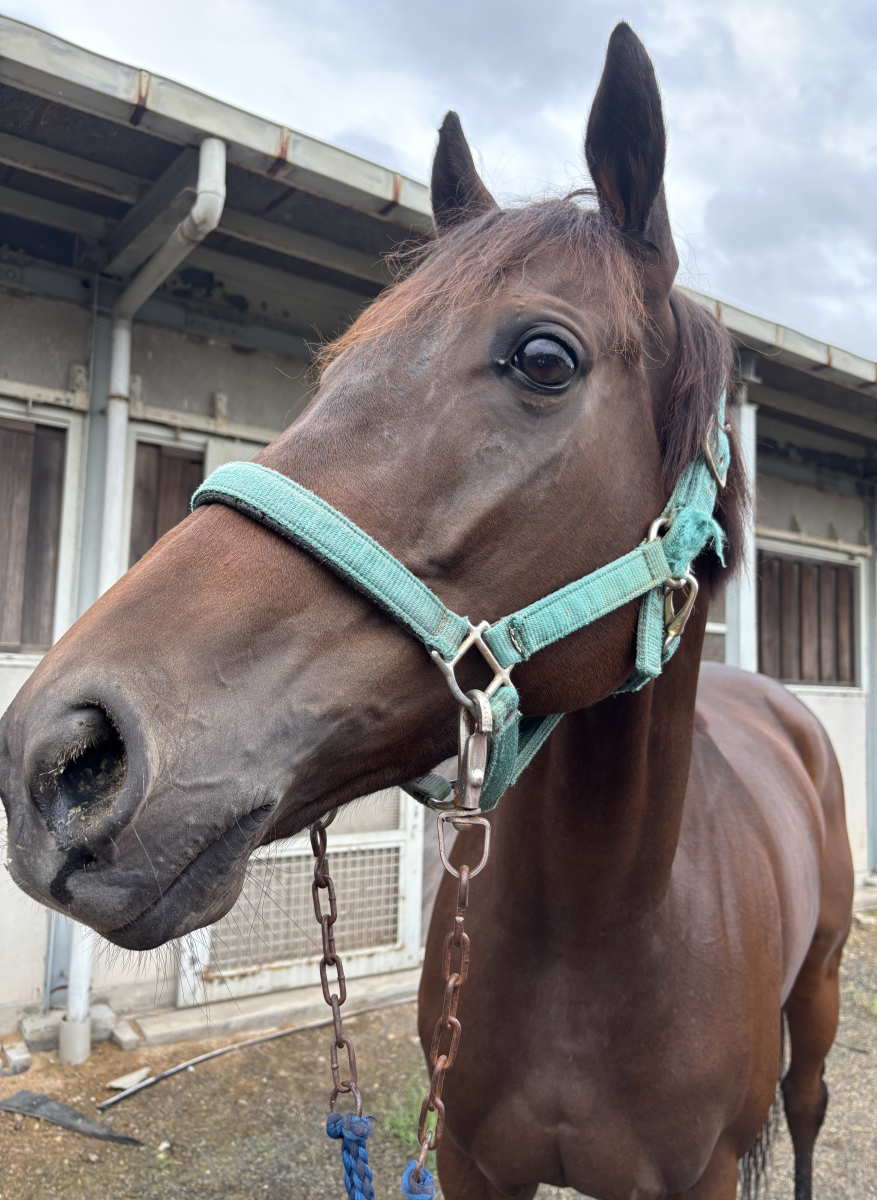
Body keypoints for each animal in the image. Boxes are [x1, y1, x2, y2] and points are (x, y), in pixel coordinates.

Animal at [0, 22, 853, 1200]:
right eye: (333, 369)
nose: (62, 759)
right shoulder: (466, 1158)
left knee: (809, 1113)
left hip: (817, 998)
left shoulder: (703, 1175)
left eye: (543, 357)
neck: (600, 933)